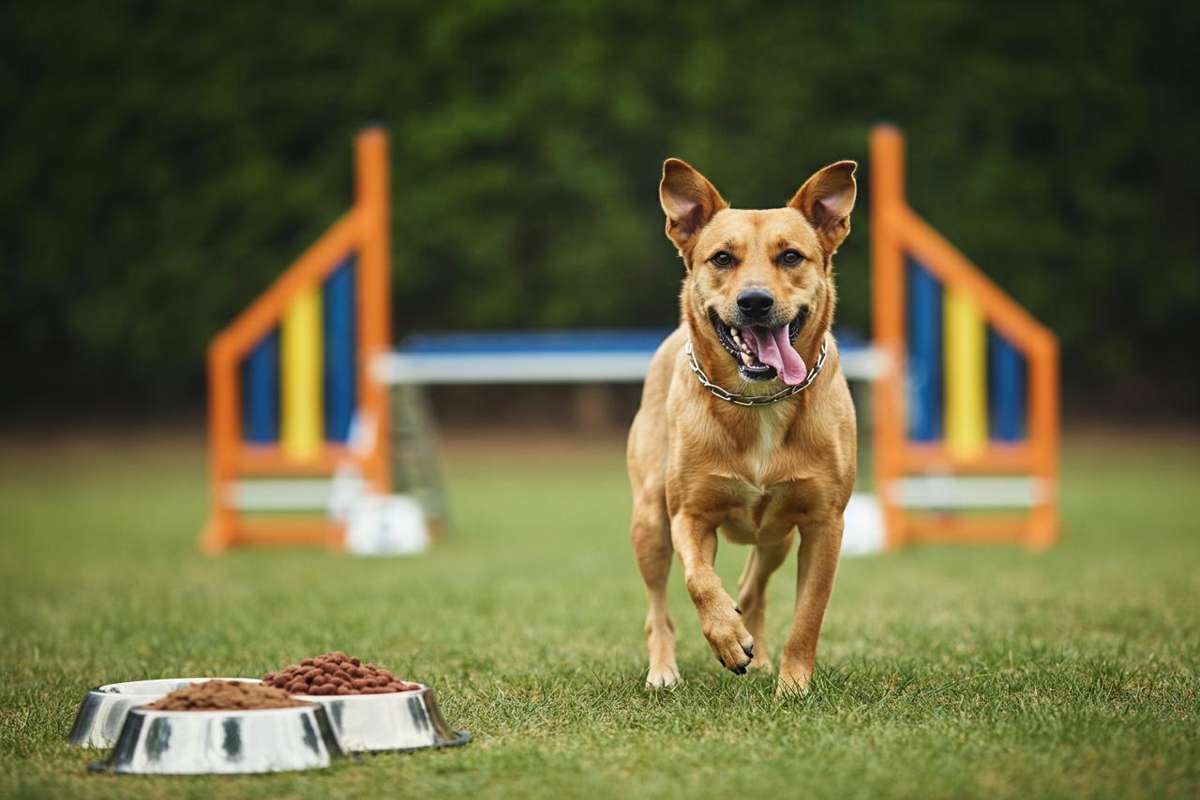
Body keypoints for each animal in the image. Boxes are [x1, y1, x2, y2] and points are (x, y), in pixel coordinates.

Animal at [624, 155, 859, 695]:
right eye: (722, 258)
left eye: (791, 256)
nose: (755, 301)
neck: (759, 403)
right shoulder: (688, 514)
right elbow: (698, 580)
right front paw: (727, 638)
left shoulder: (824, 522)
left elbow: (809, 613)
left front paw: (792, 684)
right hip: (648, 520)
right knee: (658, 608)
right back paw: (664, 670)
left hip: (776, 535)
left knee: (752, 586)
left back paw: (761, 656)